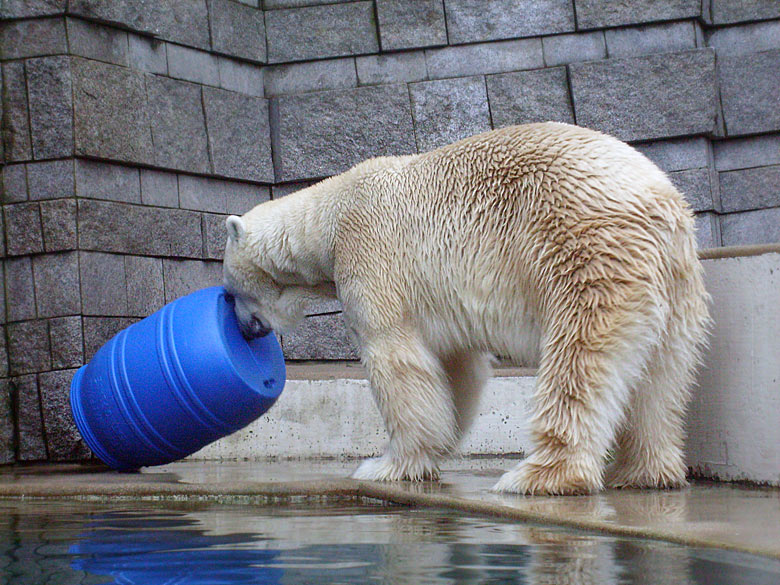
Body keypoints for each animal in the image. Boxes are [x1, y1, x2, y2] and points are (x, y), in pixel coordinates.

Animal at [222, 122, 708, 492]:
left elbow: (395, 360)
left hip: (585, 250)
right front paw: (436, 447)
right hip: (677, 278)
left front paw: (386, 465)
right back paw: (645, 471)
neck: (331, 216)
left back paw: (539, 475)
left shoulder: (370, 254)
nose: (246, 329)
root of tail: (659, 201)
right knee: (662, 376)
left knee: (580, 358)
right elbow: (456, 370)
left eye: (228, 291)